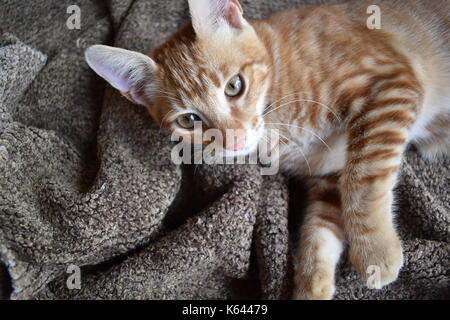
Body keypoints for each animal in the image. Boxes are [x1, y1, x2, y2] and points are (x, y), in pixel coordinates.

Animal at [85, 0, 450, 300]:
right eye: (189, 120)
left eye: (234, 86)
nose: (233, 139)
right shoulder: (328, 172)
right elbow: (318, 231)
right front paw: (311, 286)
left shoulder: (390, 83)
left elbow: (364, 176)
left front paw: (375, 252)